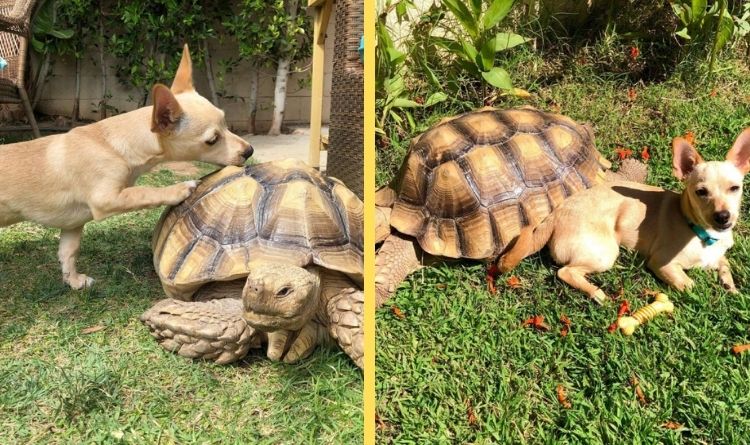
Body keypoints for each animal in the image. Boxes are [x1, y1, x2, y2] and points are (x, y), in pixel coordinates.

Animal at [0, 44, 254, 288]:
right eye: (212, 140)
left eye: (226, 122)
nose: (249, 151)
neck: (113, 143)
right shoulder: (107, 200)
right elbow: (143, 192)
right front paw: (179, 189)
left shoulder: (73, 224)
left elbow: (68, 252)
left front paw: (73, 281)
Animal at [500, 126, 750, 304]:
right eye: (701, 192)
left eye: (734, 188)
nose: (723, 216)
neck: (701, 233)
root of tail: (555, 214)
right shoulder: (662, 264)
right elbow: (689, 284)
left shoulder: (719, 256)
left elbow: (725, 266)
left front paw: (731, 288)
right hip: (605, 253)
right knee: (565, 272)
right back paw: (596, 293)